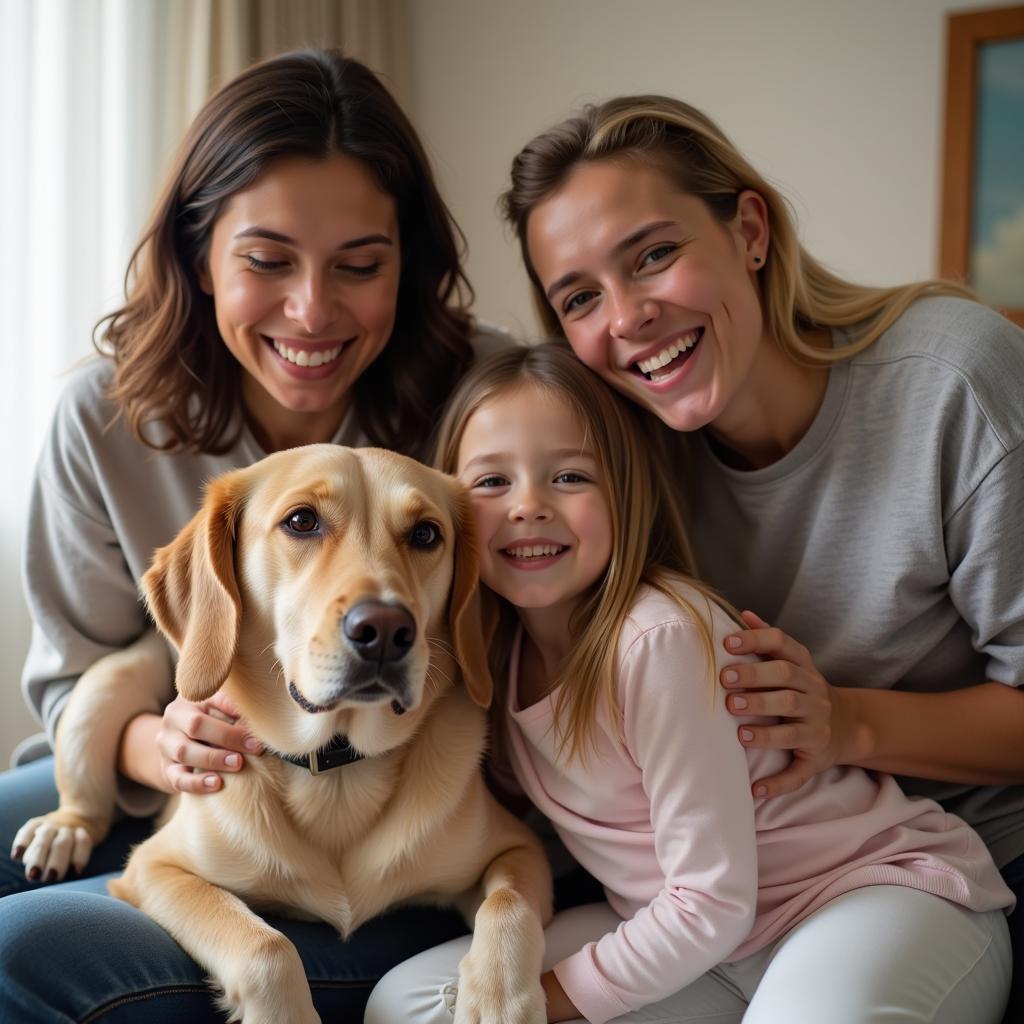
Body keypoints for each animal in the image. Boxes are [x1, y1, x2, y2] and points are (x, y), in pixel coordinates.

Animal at [12, 446, 552, 1024]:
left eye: (426, 534)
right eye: (301, 521)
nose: (385, 630)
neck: (336, 769)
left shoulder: (519, 849)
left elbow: (509, 905)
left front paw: (500, 1000)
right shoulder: (154, 869)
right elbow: (266, 947)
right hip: (105, 685)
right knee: (85, 798)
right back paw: (61, 832)